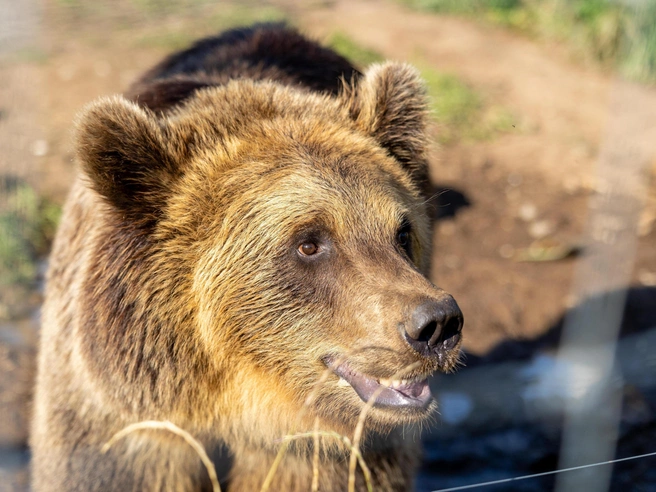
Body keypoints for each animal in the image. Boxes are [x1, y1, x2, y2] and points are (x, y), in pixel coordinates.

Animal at [31, 23, 463, 492]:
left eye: (402, 232)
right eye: (309, 243)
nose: (436, 324)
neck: (234, 406)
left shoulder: (321, 455)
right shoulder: (124, 428)